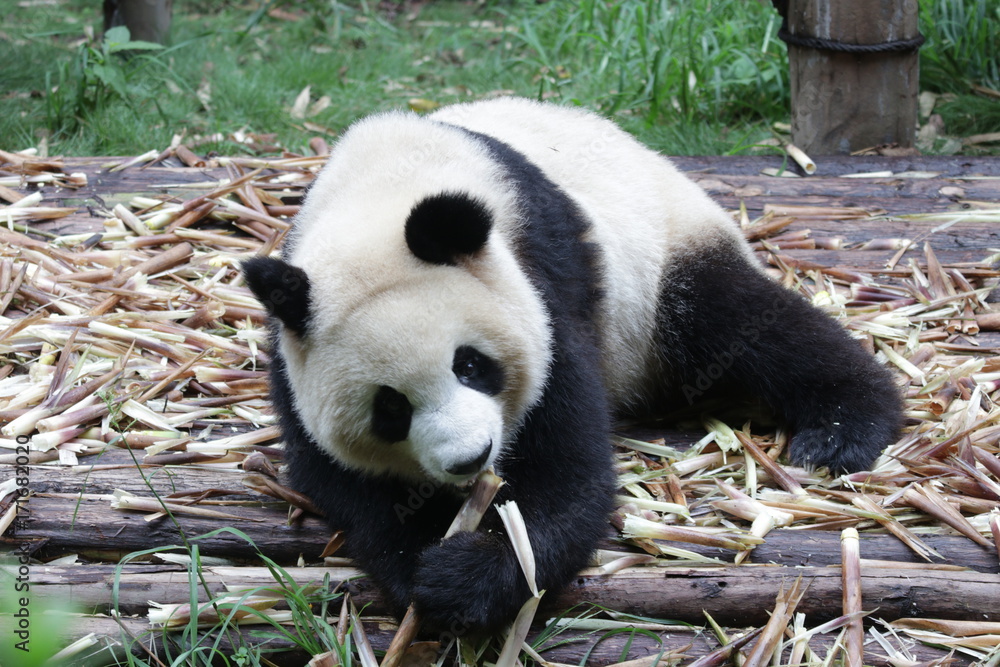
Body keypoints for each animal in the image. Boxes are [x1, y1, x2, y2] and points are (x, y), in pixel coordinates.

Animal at [242, 97, 901, 634]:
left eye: (470, 365)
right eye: (390, 409)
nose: (471, 458)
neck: (382, 195)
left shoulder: (540, 286)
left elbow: (567, 473)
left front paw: (467, 574)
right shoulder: (292, 341)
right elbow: (346, 482)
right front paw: (422, 559)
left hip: (659, 265)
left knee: (740, 323)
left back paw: (843, 427)